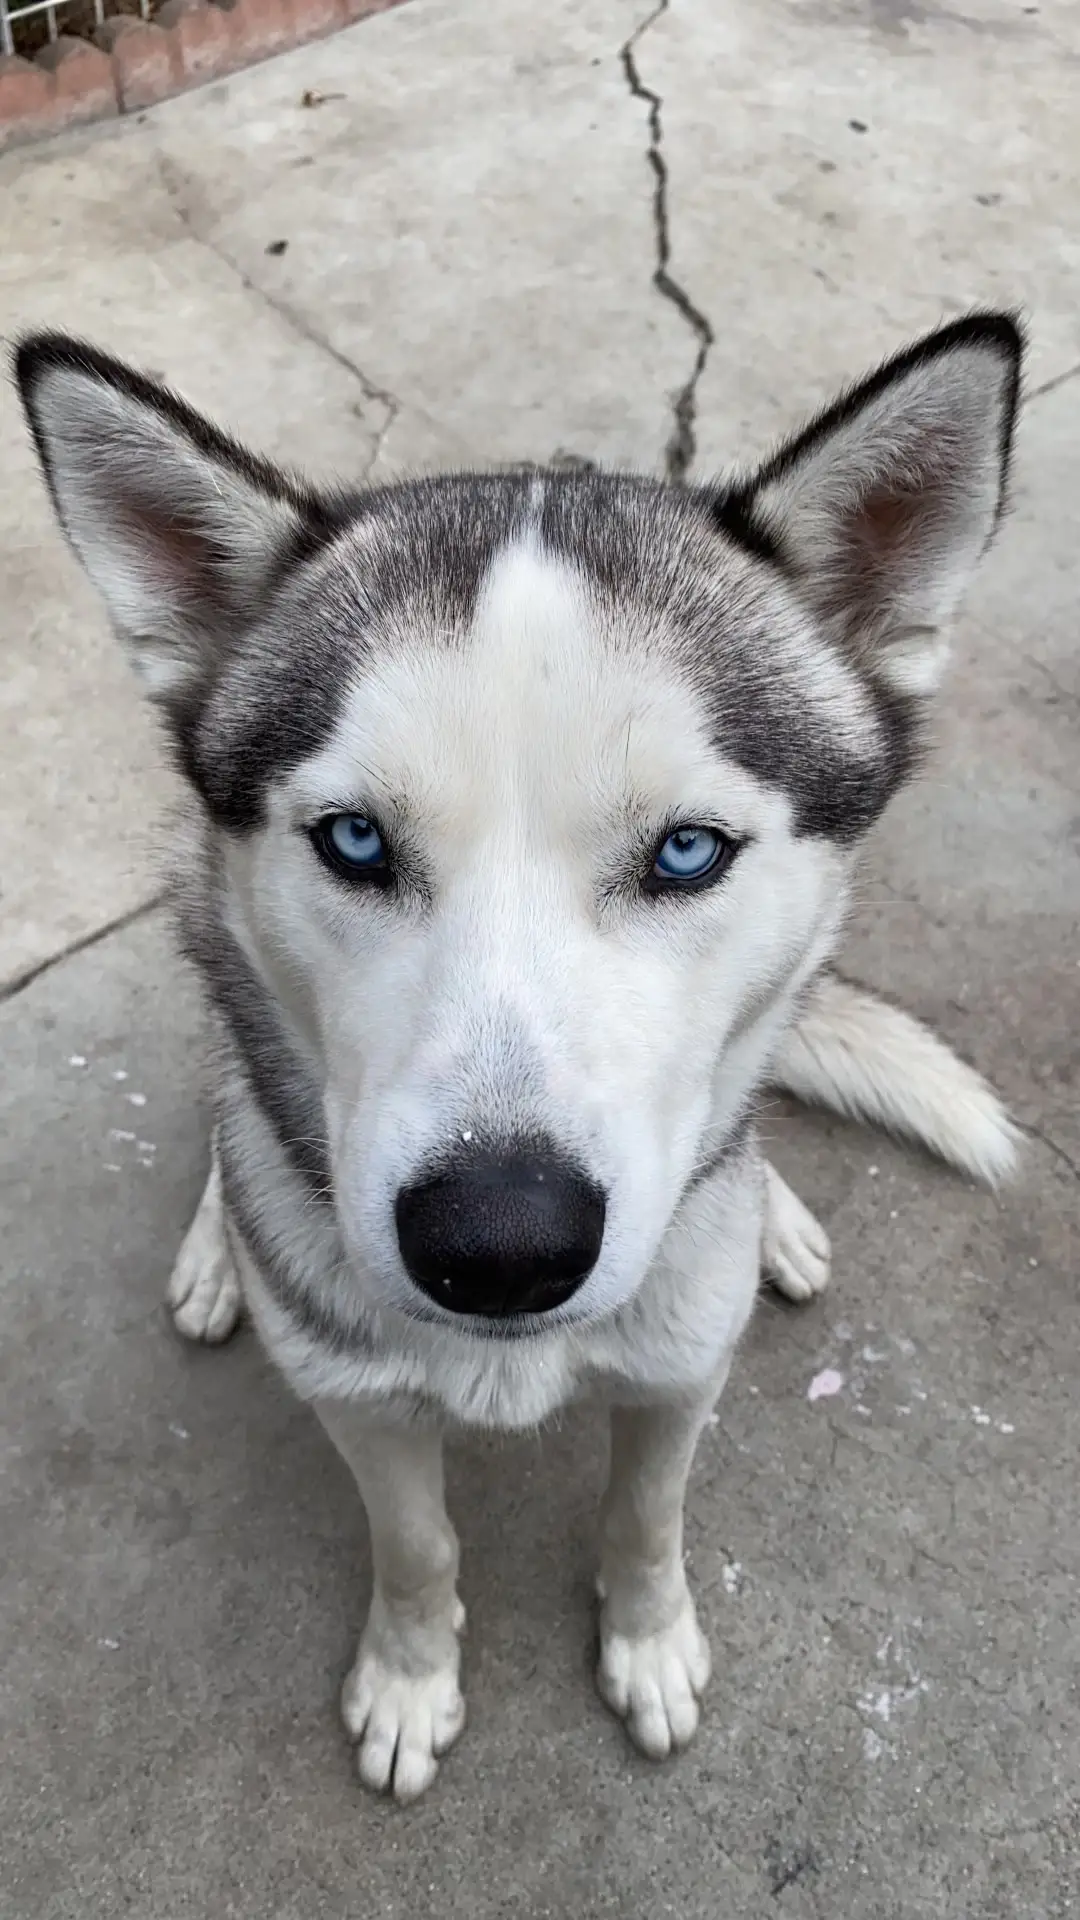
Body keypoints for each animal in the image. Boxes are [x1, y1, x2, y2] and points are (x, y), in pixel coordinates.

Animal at [16, 313, 1022, 1801]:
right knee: (230, 1119)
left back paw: (773, 1217)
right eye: (355, 840)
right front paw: (408, 1677)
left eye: (687, 851)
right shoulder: (362, 1405)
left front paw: (648, 1645)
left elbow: (648, 1516)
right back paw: (218, 1249)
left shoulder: (679, 1375)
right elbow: (418, 1545)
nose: (499, 1245)